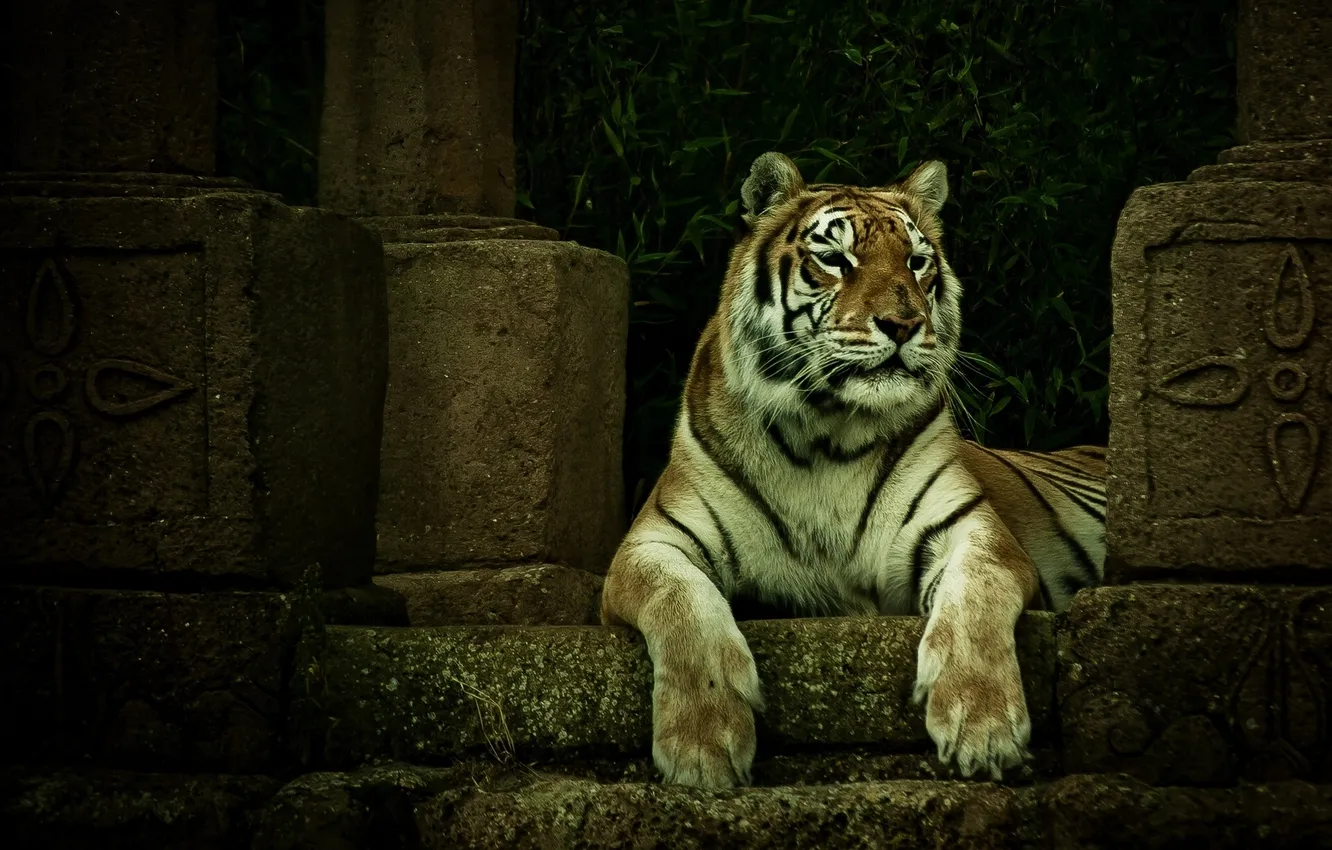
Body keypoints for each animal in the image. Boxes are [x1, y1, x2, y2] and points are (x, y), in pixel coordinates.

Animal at [600, 151, 1106, 789]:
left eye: (916, 262)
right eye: (836, 260)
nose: (903, 323)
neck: (826, 434)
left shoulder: (973, 529)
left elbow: (977, 594)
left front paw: (982, 725)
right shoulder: (649, 543)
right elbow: (681, 603)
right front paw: (701, 746)